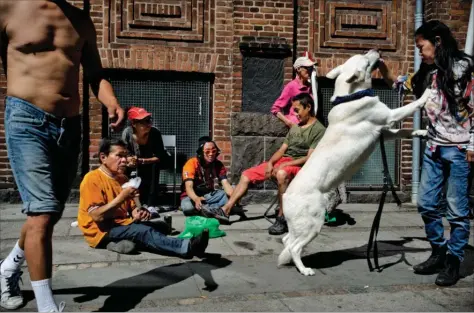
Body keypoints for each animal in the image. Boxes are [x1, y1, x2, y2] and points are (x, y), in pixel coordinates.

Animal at [278, 47, 434, 274]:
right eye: (366, 61)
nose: (376, 49)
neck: (351, 95)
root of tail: (286, 197)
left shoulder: (385, 131)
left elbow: (404, 131)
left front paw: (422, 132)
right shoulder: (388, 117)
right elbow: (411, 106)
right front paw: (427, 93)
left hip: (300, 224)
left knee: (287, 240)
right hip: (313, 222)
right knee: (294, 246)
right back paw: (304, 269)